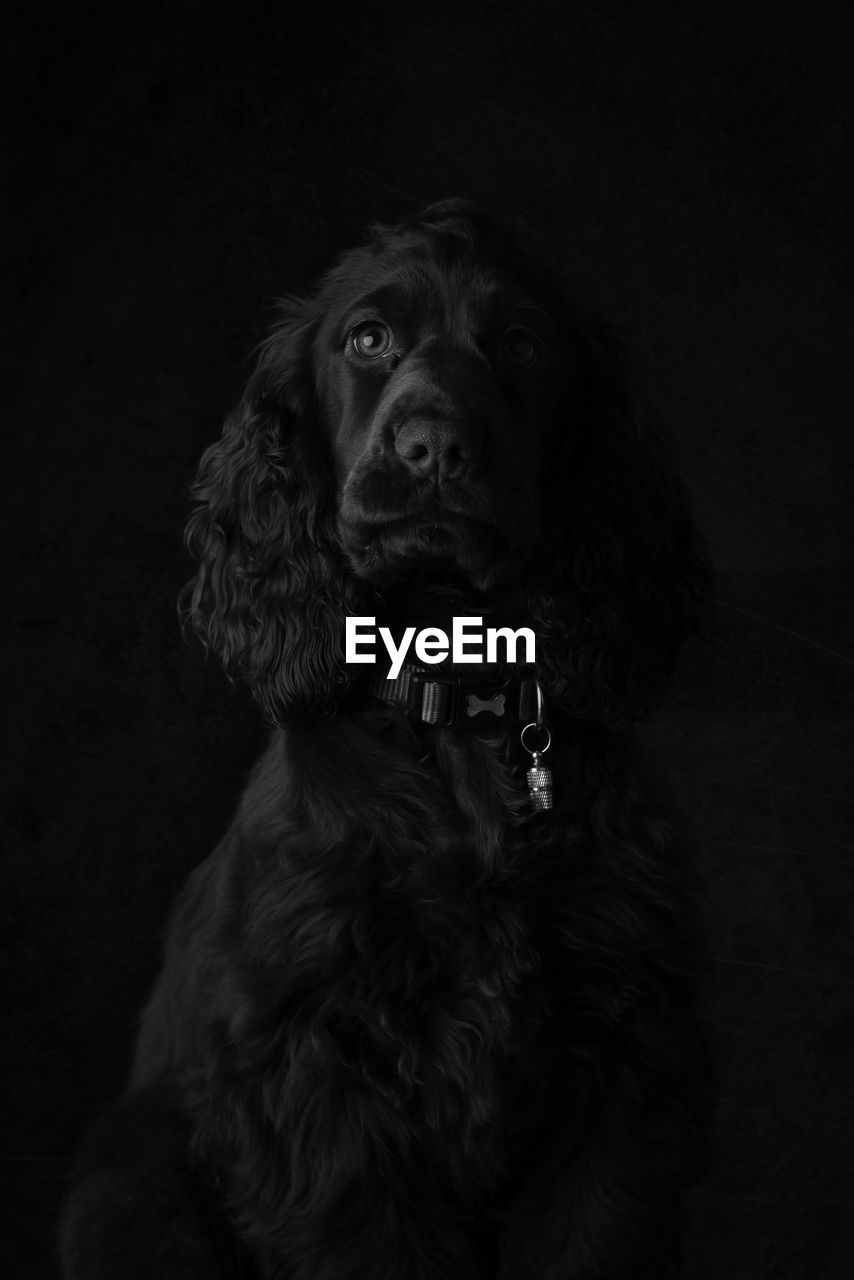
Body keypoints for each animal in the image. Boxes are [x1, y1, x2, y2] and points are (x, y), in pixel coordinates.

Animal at [60, 199, 711, 1280]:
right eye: (368, 339)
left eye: (522, 345)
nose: (433, 447)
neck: (455, 716)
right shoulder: (312, 1070)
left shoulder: (620, 1052)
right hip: (128, 1183)